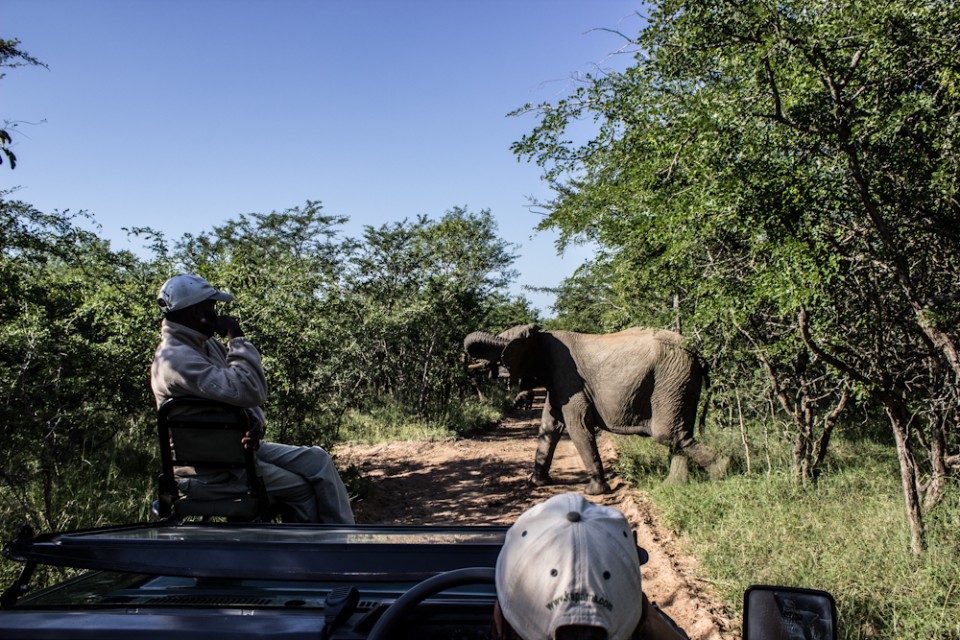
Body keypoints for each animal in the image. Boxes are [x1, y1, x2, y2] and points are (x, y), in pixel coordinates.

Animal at [463, 323, 724, 494]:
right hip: (680, 381)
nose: (475, 366)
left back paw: (720, 470)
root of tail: (697, 353)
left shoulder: (568, 377)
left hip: (673, 377)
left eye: (502, 348)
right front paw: (535, 483)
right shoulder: (558, 382)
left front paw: (594, 492)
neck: (542, 335)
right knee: (679, 434)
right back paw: (674, 485)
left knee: (667, 434)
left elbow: (577, 426)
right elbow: (549, 426)